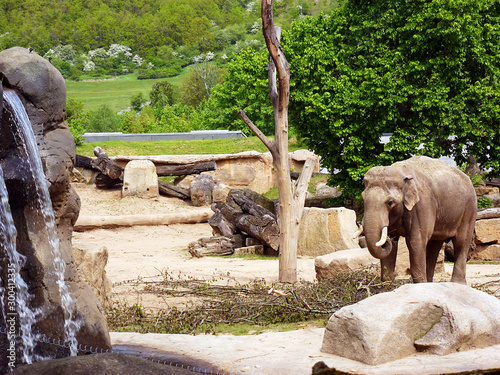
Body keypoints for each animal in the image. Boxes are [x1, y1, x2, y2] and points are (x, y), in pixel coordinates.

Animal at [360, 154, 476, 284]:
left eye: (390, 202)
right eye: (363, 199)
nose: (388, 240)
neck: (401, 172)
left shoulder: (422, 205)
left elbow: (416, 241)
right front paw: (387, 285)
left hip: (469, 208)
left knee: (461, 241)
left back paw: (457, 283)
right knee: (434, 245)